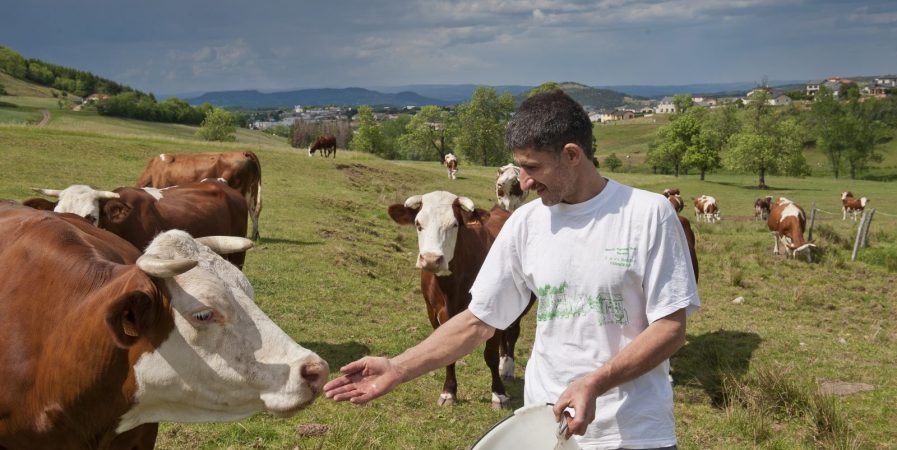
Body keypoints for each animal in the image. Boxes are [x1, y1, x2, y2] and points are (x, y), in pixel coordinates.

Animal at [386, 192, 520, 410]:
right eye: (418, 224)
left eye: (454, 224)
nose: (431, 259)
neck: (451, 287)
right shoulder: (434, 313)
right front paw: (449, 392)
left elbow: (490, 355)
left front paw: (498, 394)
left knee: (513, 332)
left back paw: (507, 367)